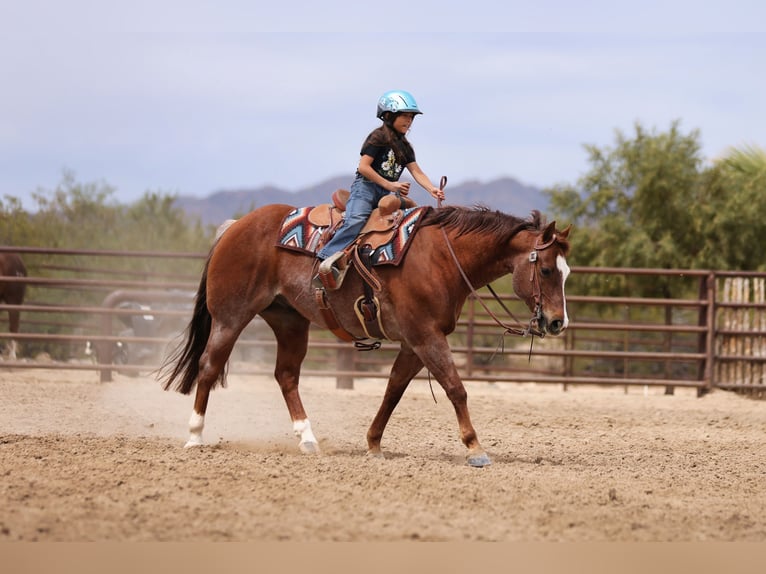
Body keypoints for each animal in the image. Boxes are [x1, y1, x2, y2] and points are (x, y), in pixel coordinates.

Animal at [160, 203, 571, 466]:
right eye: (547, 270)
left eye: (565, 271)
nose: (557, 323)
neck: (441, 257)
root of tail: (234, 227)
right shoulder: (426, 337)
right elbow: (456, 388)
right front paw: (475, 448)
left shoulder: (414, 341)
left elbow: (393, 390)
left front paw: (373, 444)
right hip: (230, 317)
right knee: (209, 366)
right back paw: (194, 436)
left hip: (290, 322)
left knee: (286, 376)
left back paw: (307, 439)